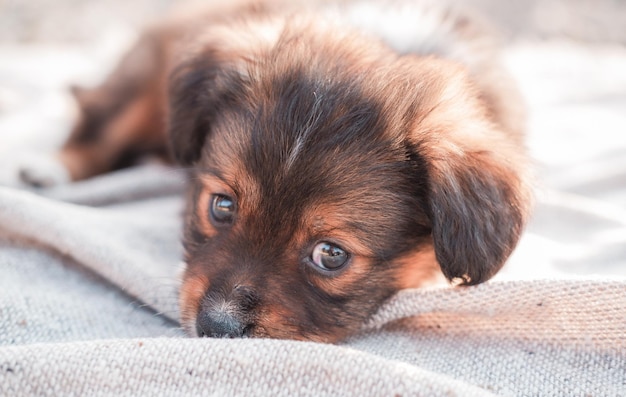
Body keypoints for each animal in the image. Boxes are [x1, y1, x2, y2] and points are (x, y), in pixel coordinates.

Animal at [30, 0, 532, 340]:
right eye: (222, 206)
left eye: (331, 254)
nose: (217, 326)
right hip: (145, 79)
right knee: (100, 115)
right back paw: (49, 167)